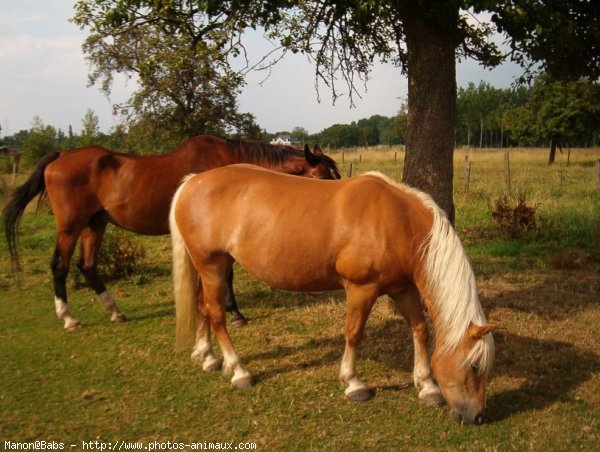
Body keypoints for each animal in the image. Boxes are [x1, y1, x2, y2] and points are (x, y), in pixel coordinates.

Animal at [2, 134, 340, 328]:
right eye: (325, 176)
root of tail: (60, 155)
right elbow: (226, 275)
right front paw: (234, 313)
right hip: (71, 226)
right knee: (60, 266)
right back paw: (69, 318)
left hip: (95, 223)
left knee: (87, 265)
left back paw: (116, 313)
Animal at [170, 165, 496, 424]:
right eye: (474, 365)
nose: (476, 417)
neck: (396, 220)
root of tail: (192, 181)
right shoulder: (362, 288)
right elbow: (354, 332)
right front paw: (354, 384)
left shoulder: (402, 288)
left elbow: (419, 329)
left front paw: (426, 386)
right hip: (213, 267)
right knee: (216, 315)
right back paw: (238, 371)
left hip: (208, 269)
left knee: (202, 307)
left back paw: (207, 357)